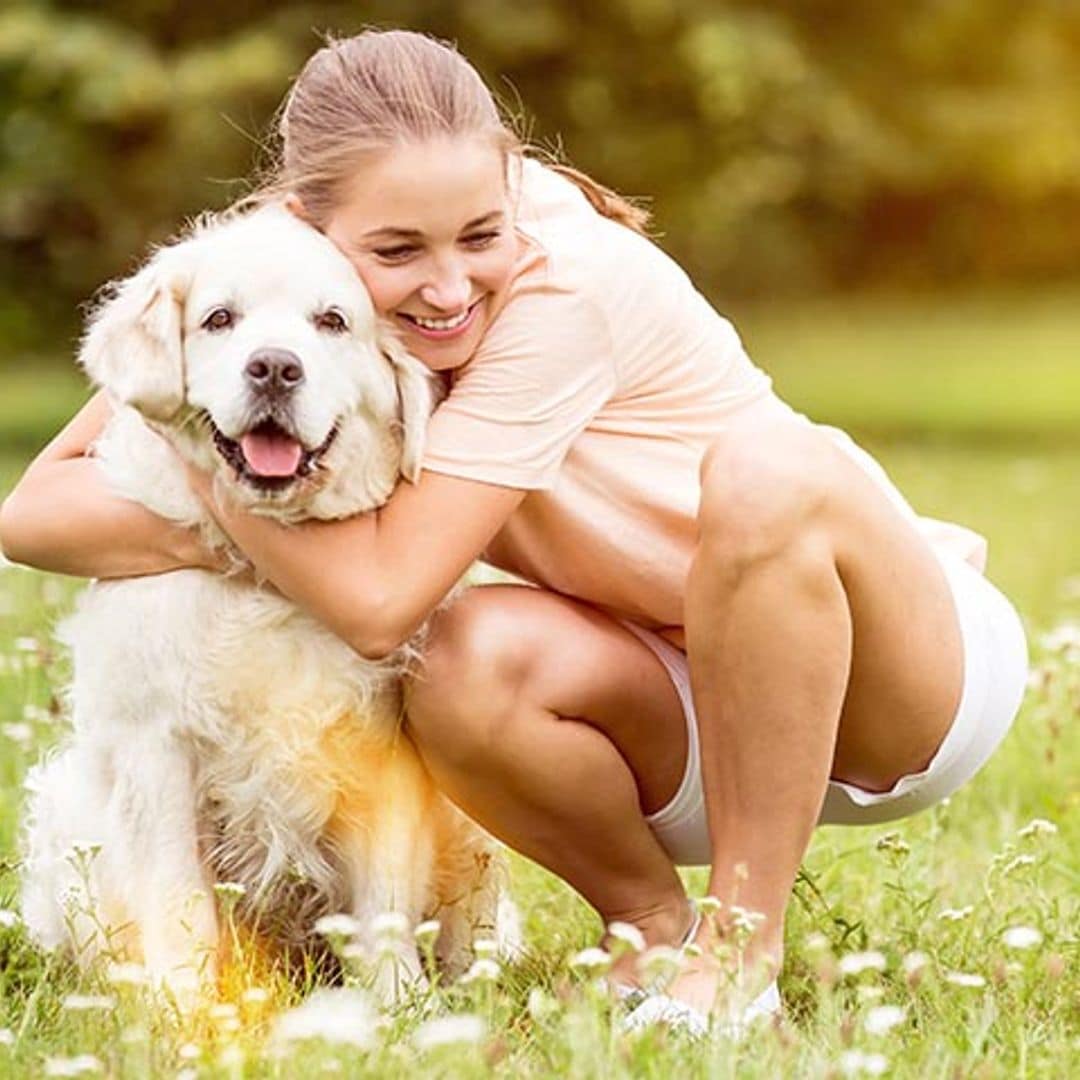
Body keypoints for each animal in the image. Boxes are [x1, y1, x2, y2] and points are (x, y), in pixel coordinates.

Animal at [19, 204, 514, 1002]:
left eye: (333, 321)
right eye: (219, 318)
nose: (276, 367)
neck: (275, 573)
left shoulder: (385, 751)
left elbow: (384, 901)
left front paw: (399, 1004)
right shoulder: (158, 748)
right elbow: (179, 899)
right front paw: (186, 1007)